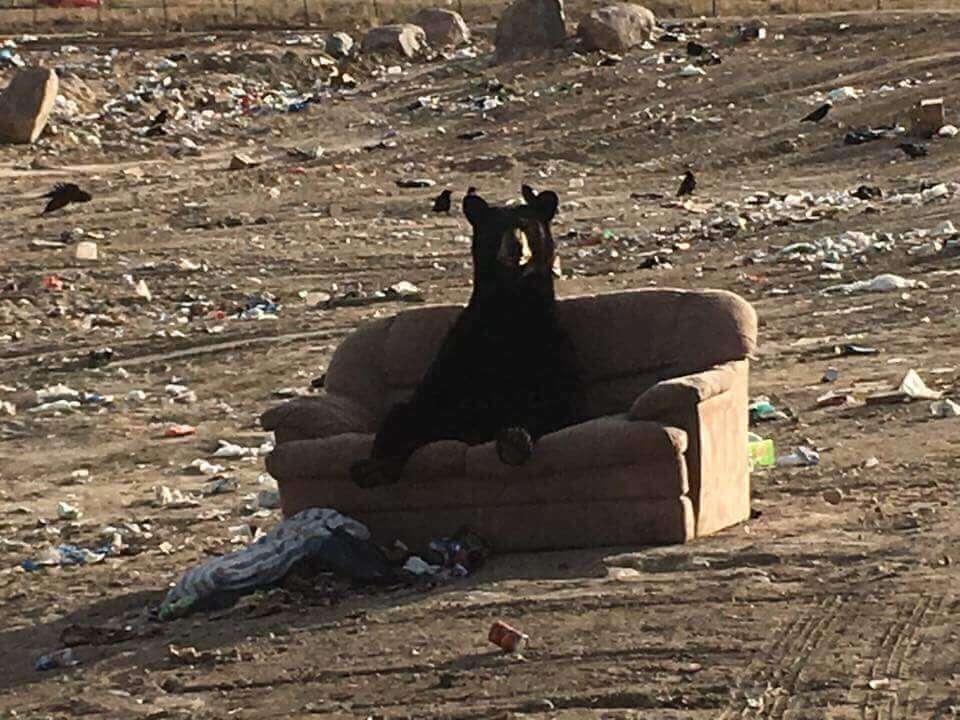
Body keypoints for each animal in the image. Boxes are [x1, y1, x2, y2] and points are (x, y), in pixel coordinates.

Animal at [350, 186, 576, 490]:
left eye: (526, 226)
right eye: (495, 227)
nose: (515, 246)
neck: (511, 304)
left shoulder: (548, 344)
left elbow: (549, 403)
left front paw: (515, 438)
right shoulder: (461, 349)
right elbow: (421, 406)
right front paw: (377, 464)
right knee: (401, 414)